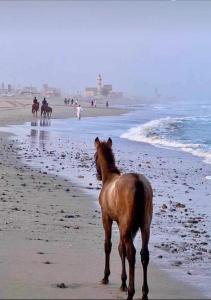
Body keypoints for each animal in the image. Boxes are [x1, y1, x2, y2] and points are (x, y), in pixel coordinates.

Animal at [95, 138, 152, 300]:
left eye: (95, 156)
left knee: (132, 253)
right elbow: (121, 249)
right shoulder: (123, 225)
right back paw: (144, 293)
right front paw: (123, 282)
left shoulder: (107, 218)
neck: (110, 179)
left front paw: (106, 277)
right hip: (144, 227)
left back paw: (131, 293)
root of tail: (138, 182)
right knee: (144, 254)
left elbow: (108, 246)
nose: (98, 175)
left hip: (126, 227)